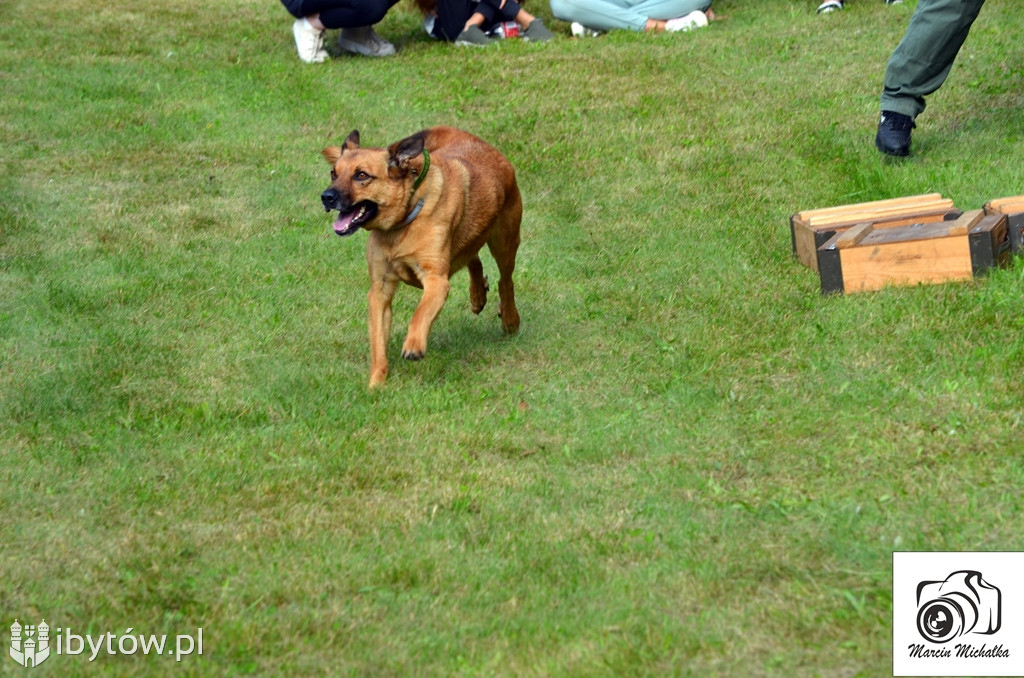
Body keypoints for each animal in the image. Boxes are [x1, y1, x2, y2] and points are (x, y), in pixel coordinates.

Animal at [319, 126, 524, 387]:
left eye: (362, 175)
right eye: (333, 174)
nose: (326, 197)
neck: (402, 223)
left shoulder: (436, 281)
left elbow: (420, 313)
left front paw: (413, 345)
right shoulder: (379, 289)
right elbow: (377, 341)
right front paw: (376, 383)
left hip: (504, 241)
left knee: (505, 281)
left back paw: (510, 319)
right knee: (473, 258)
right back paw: (477, 294)